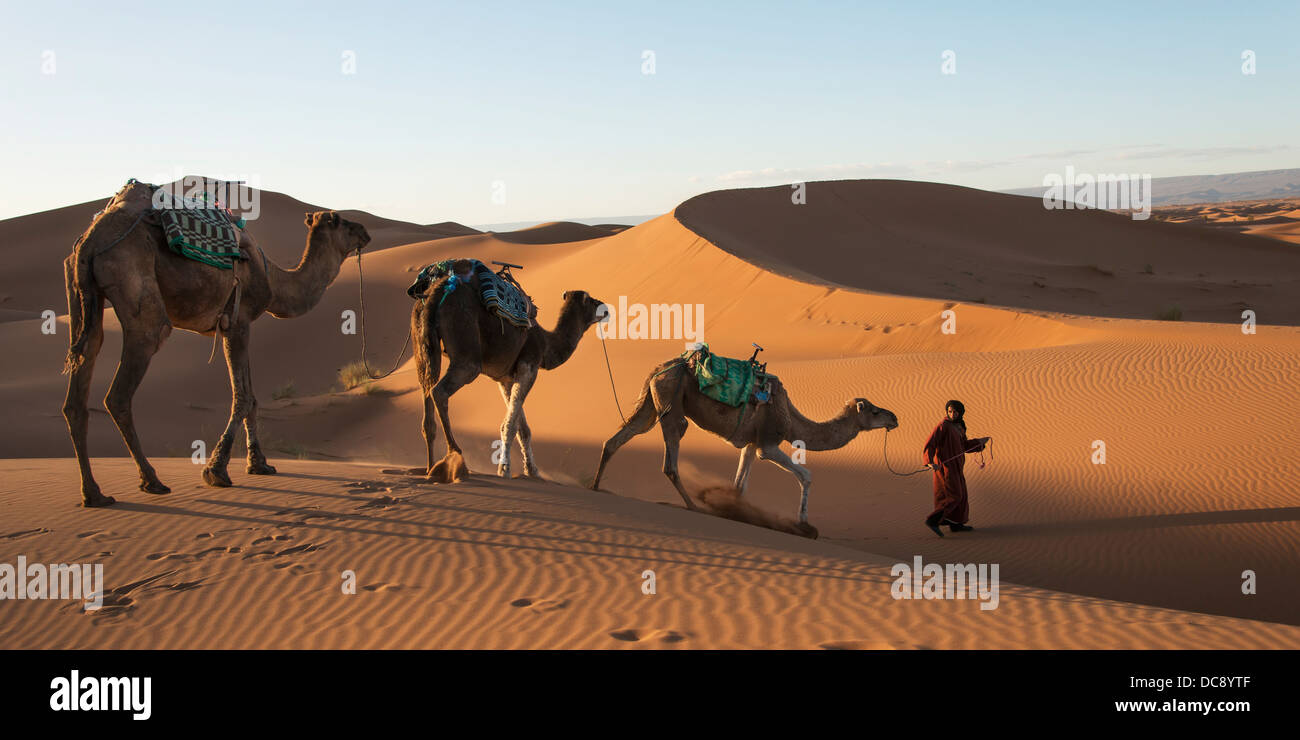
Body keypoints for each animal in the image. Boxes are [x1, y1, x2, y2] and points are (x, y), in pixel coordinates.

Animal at [64, 176, 371, 507]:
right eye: (340, 220)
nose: (365, 231)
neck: (273, 279)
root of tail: (90, 241)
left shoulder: (239, 324)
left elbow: (252, 397)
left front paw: (259, 463)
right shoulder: (238, 321)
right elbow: (242, 397)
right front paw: (216, 470)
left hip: (81, 294)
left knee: (80, 382)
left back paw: (94, 493)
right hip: (134, 284)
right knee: (122, 389)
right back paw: (151, 480)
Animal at [410, 262, 603, 481]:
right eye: (591, 300)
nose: (605, 307)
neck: (546, 343)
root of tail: (437, 292)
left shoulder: (506, 378)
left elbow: (522, 428)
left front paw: (532, 471)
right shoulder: (529, 366)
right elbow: (510, 425)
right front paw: (504, 470)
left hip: (423, 344)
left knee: (427, 390)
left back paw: (430, 468)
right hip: (466, 350)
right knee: (440, 390)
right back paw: (454, 456)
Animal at [595, 353, 899, 522]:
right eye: (874, 410)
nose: (894, 418)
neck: (791, 419)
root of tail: (659, 368)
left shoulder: (751, 444)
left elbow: (740, 485)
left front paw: (734, 510)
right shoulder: (768, 443)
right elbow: (807, 475)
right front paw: (803, 523)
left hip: (653, 399)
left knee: (621, 436)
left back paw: (596, 486)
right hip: (671, 401)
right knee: (671, 454)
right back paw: (693, 505)